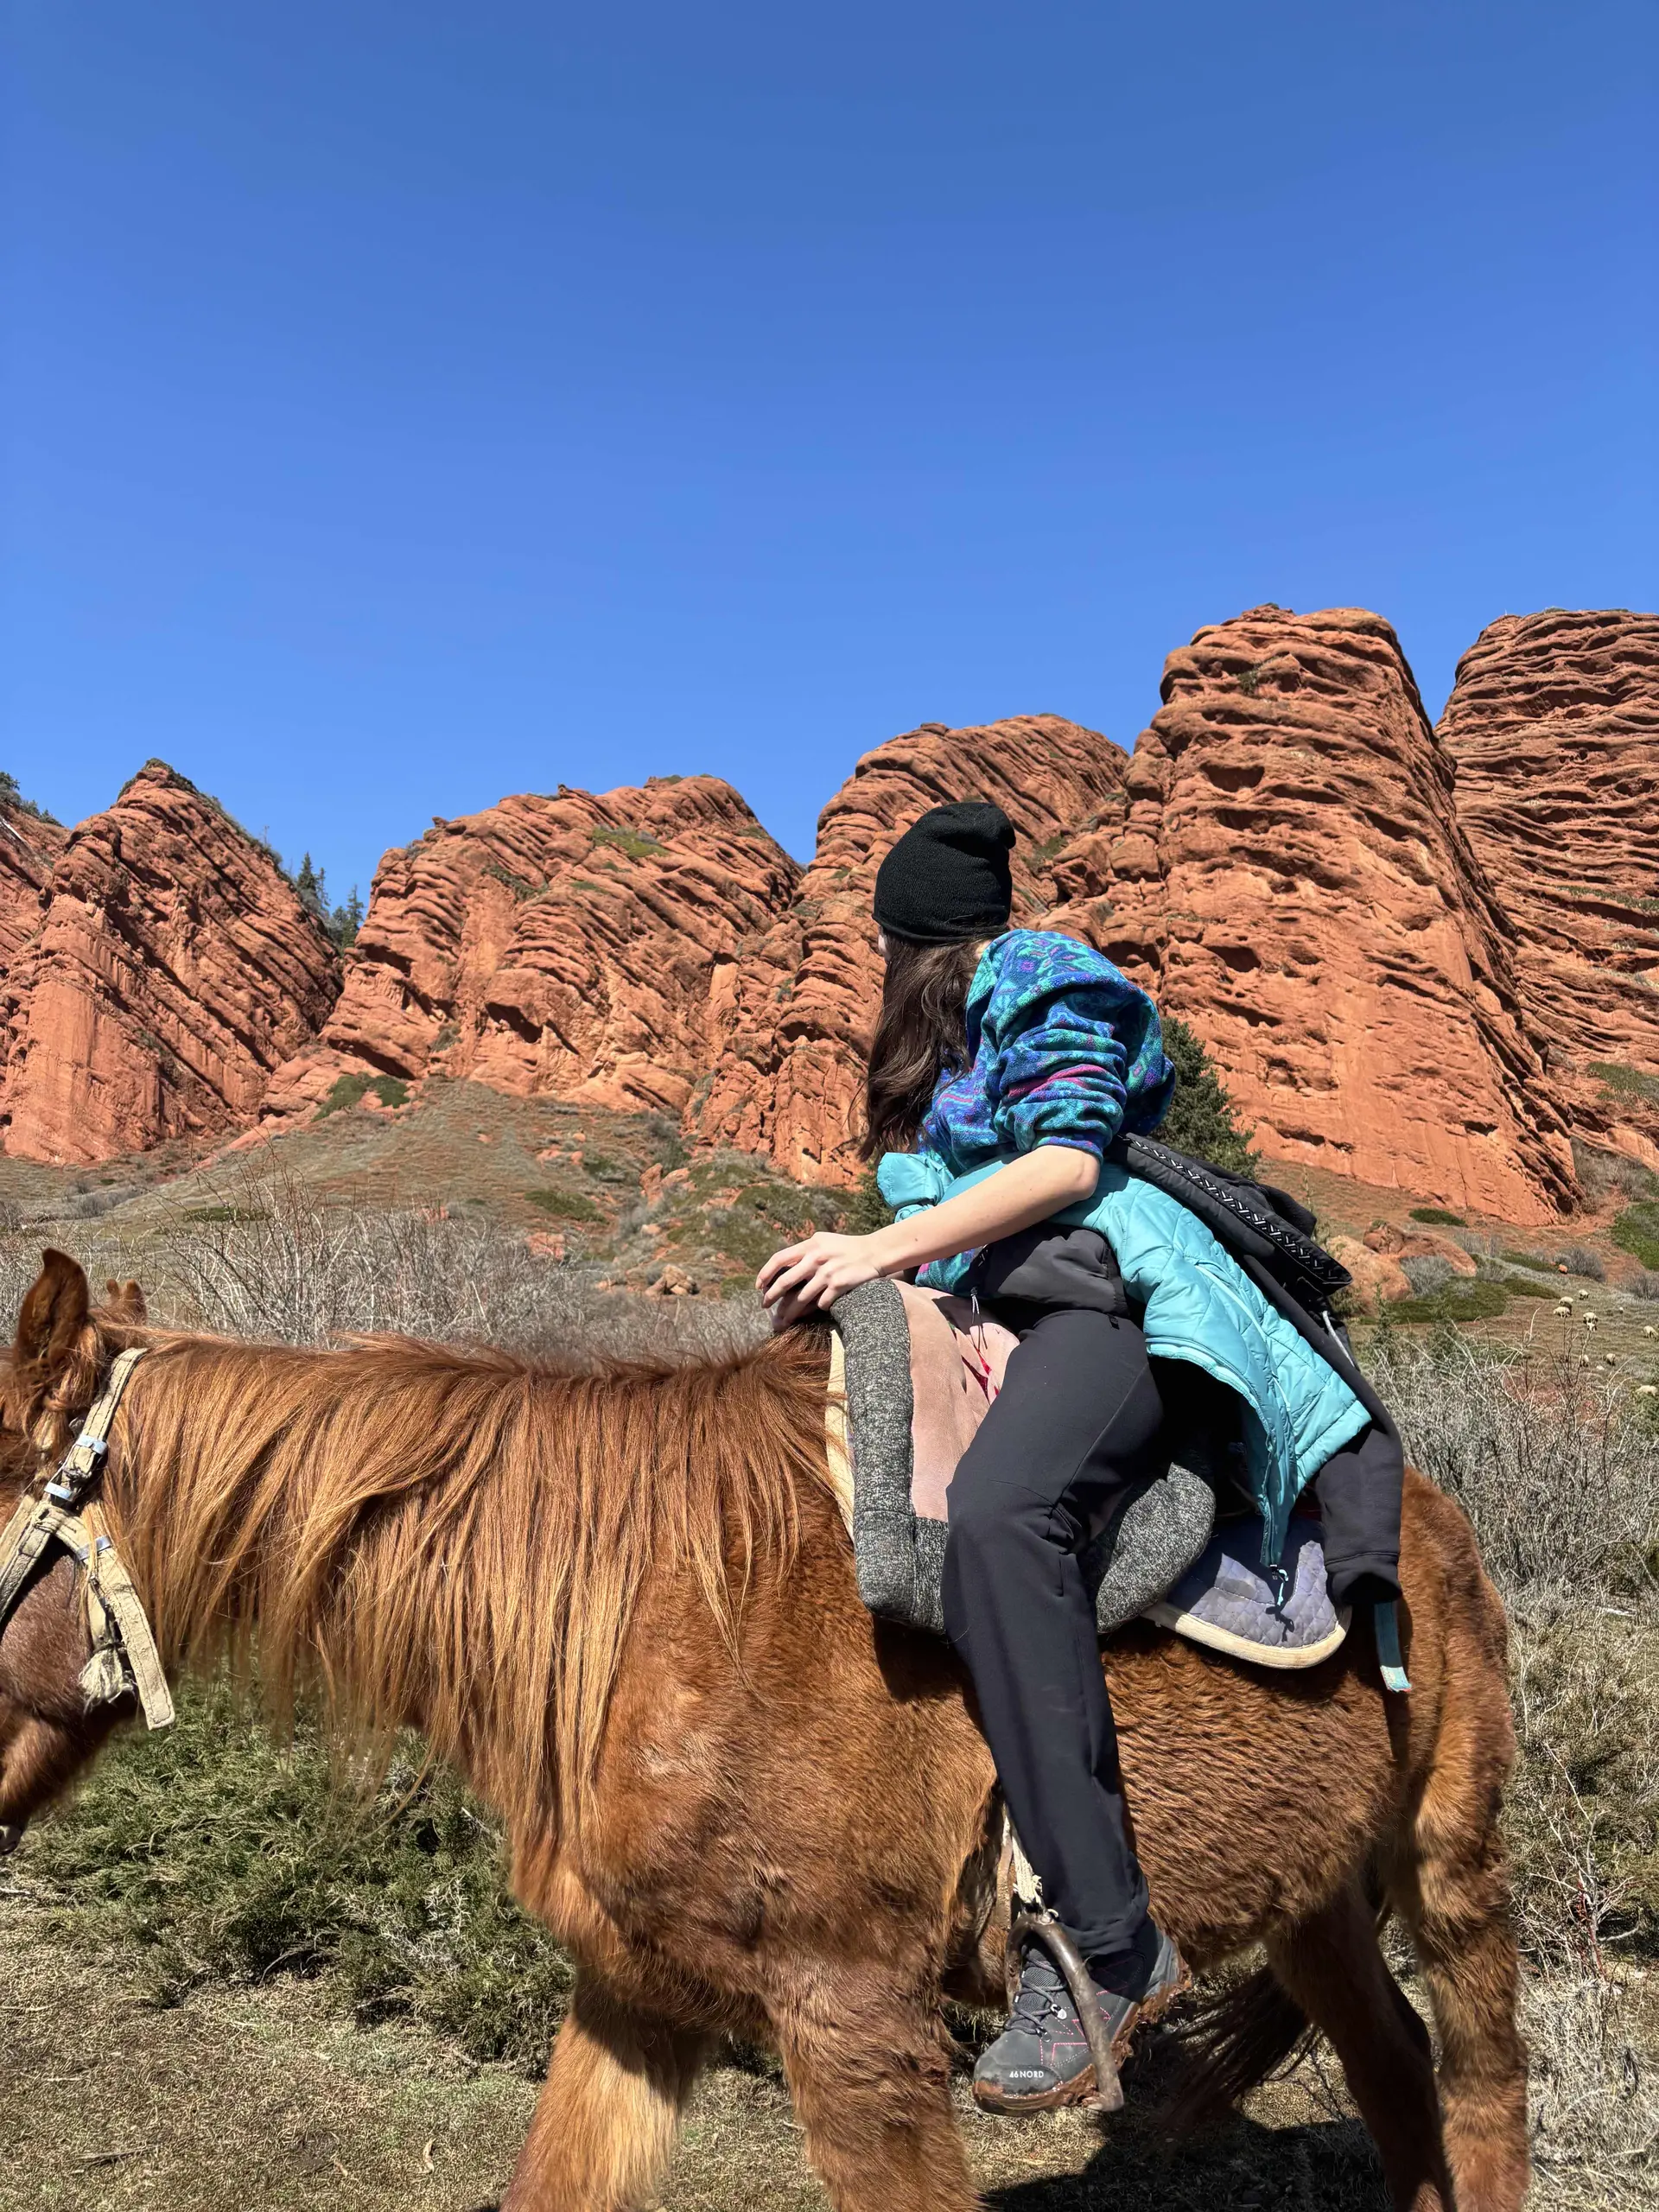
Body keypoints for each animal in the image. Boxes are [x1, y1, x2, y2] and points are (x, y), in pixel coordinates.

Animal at [0, 1248, 1528, 2212]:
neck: (644, 1614)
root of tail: (1436, 1504)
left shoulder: (854, 2019)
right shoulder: (633, 1998)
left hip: (1451, 1867)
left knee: (1484, 2098)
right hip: (1314, 1897)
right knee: (1399, 2080)